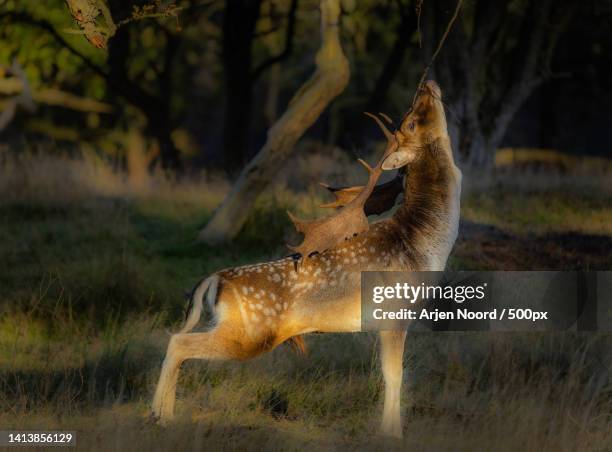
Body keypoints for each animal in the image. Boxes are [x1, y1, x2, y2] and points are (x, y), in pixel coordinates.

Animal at [152, 81, 460, 438]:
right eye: (411, 122)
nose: (427, 84)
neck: (424, 247)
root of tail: (216, 279)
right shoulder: (394, 314)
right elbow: (394, 376)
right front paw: (391, 434)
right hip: (250, 333)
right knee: (178, 342)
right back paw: (159, 415)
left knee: (179, 342)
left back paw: (163, 415)